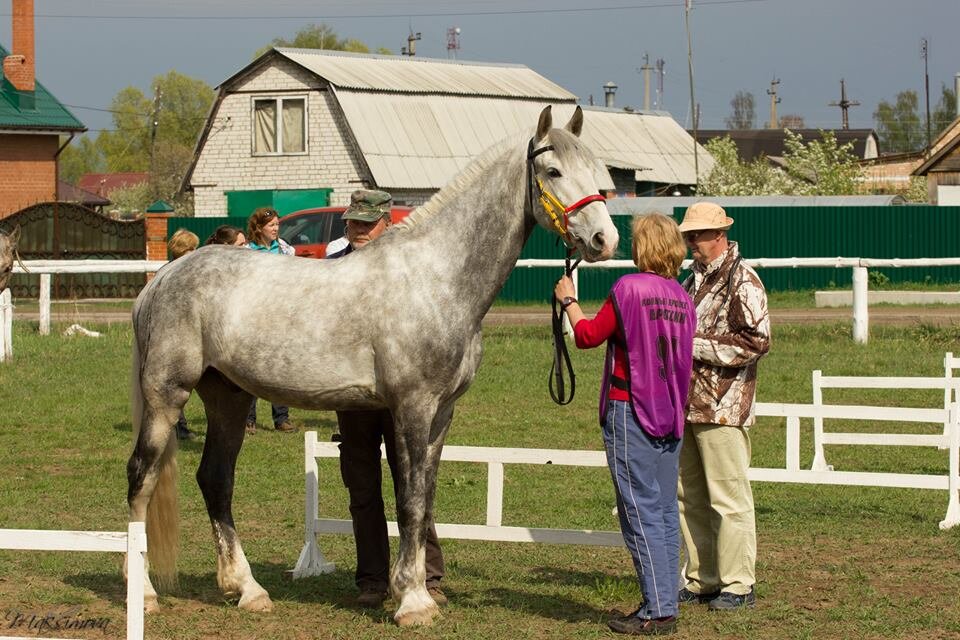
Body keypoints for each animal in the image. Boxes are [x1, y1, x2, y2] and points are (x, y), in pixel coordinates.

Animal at [127, 106, 620, 624]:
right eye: (553, 171)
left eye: (596, 172)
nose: (605, 239)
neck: (436, 277)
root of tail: (161, 280)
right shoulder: (413, 407)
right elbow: (409, 501)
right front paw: (413, 601)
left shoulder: (442, 413)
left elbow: (425, 502)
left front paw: (420, 591)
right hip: (166, 397)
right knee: (141, 478)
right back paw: (146, 595)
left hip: (227, 396)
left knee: (216, 480)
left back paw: (248, 589)